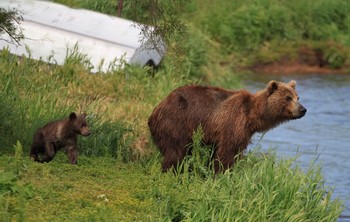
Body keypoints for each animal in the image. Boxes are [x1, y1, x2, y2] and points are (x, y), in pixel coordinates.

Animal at [148, 80, 306, 173]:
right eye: (288, 98)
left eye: (297, 97)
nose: (303, 109)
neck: (252, 116)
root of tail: (156, 109)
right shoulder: (232, 124)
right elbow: (227, 153)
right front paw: (222, 173)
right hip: (176, 122)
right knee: (175, 152)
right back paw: (171, 172)